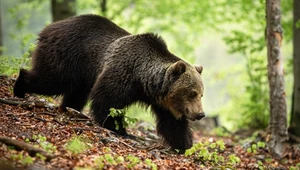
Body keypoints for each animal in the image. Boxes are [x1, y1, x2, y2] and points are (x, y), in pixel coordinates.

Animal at [14, 13, 206, 151]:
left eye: (201, 94)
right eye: (192, 93)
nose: (200, 114)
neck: (144, 82)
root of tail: (50, 27)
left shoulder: (163, 102)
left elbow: (173, 123)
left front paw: (184, 145)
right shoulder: (122, 74)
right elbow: (107, 101)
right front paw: (119, 129)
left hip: (82, 73)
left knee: (76, 93)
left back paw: (70, 108)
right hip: (67, 55)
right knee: (51, 79)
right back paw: (20, 88)